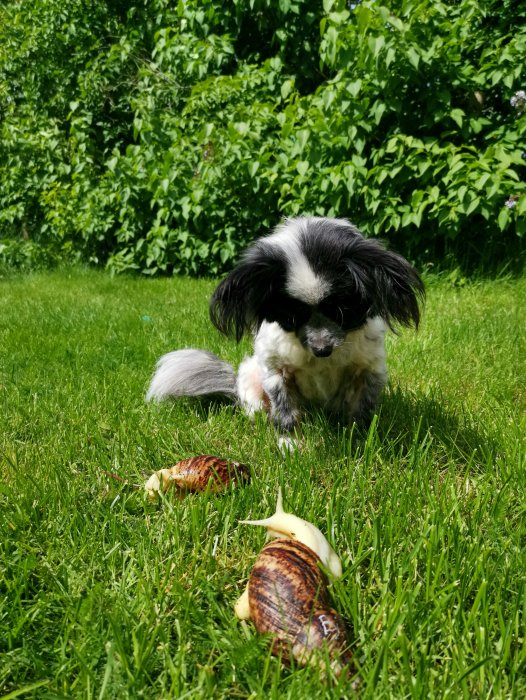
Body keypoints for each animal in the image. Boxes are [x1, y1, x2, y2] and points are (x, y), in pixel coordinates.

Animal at [146, 216, 426, 440]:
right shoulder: (276, 371)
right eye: (291, 316)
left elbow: (362, 409)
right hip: (251, 377)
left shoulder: (368, 370)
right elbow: (285, 410)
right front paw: (290, 444)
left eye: (342, 311)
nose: (321, 348)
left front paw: (358, 439)